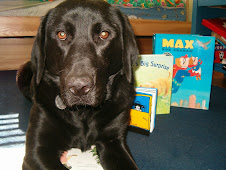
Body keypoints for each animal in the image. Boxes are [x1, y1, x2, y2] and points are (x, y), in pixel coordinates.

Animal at [16, 0, 139, 169]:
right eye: (61, 34)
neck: (83, 112)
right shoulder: (37, 150)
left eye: (104, 34)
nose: (79, 88)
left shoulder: (114, 142)